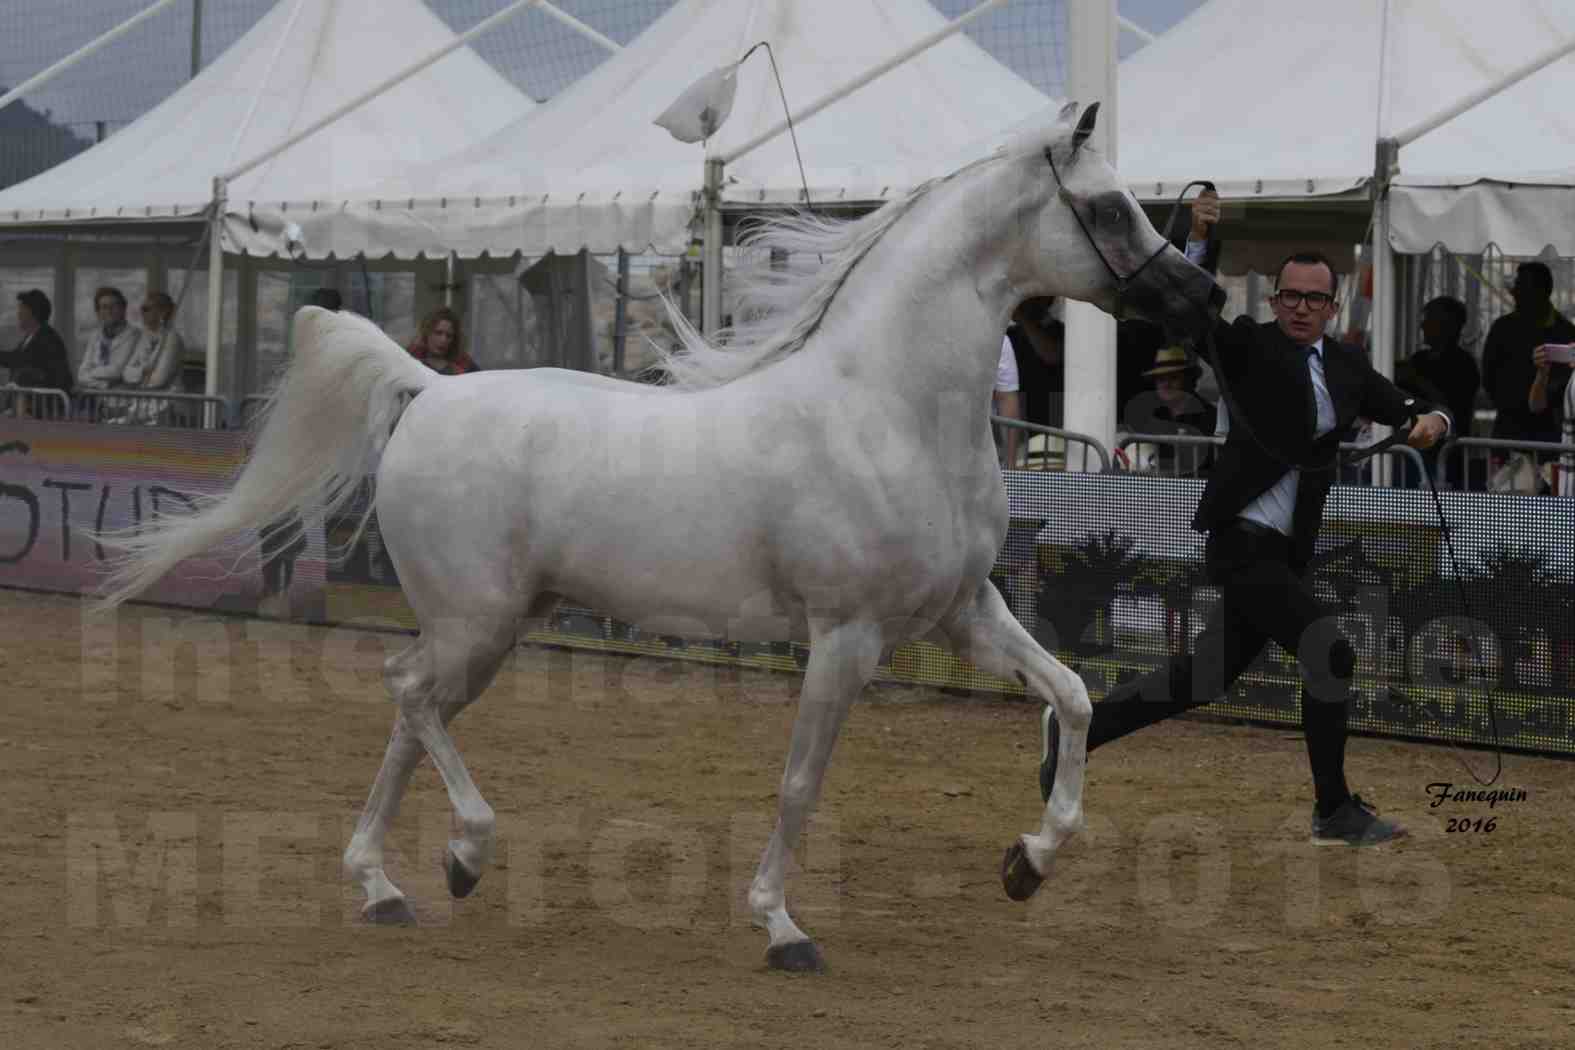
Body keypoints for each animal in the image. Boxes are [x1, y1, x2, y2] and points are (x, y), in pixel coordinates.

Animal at [101, 102, 1215, 976]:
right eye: (1109, 206)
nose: (1200, 299)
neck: (888, 411)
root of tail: (429, 388)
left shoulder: (961, 615)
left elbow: (1072, 697)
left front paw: (1029, 862)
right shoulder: (845, 637)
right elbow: (801, 781)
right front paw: (781, 928)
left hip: (493, 628)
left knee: (411, 716)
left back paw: (385, 887)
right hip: (478, 622)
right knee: (408, 694)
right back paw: (462, 857)